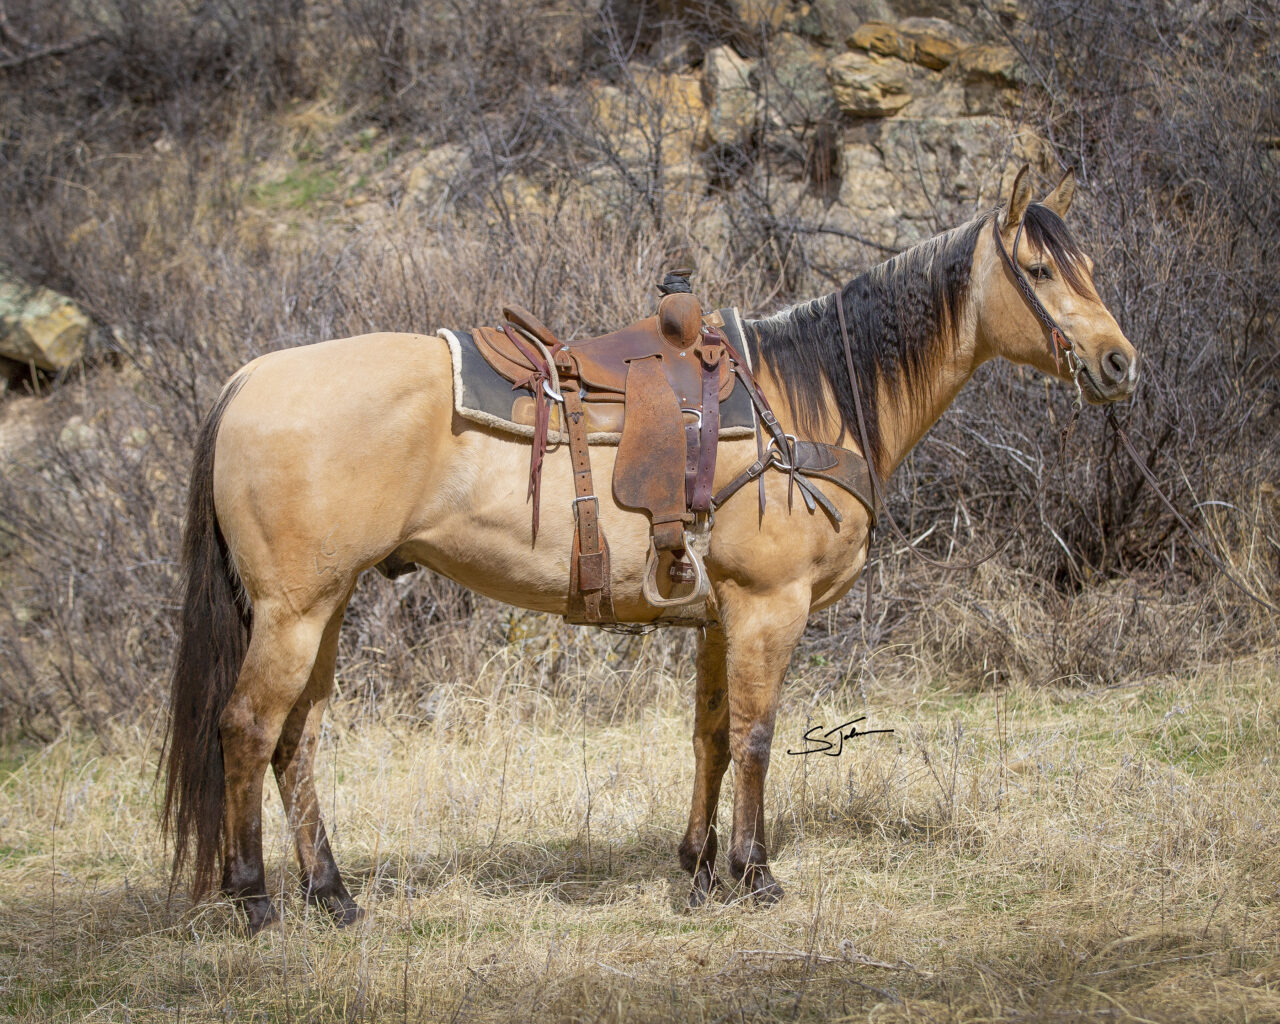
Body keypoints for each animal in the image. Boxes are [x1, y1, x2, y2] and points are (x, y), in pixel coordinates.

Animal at [161, 165, 1138, 932]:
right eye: (1040, 269)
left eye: (1090, 265)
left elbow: (709, 737)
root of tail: (247, 381)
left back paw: (332, 895)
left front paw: (699, 871)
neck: (806, 400)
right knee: (248, 729)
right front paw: (755, 875)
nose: (1120, 363)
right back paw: (254, 899)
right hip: (292, 612)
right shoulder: (768, 607)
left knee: (299, 742)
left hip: (324, 609)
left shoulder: (717, 615)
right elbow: (756, 736)